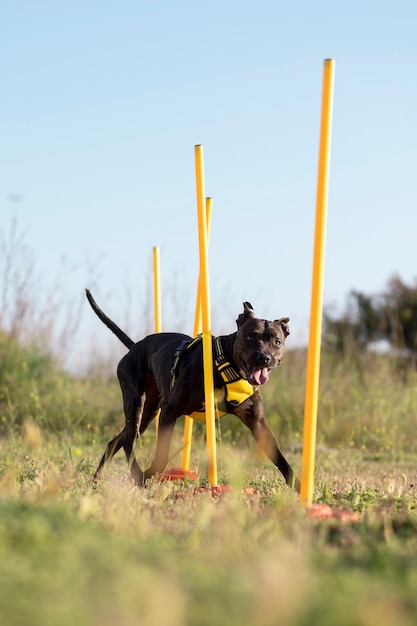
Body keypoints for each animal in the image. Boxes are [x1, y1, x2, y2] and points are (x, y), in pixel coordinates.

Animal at [85, 290, 300, 490]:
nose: (264, 357)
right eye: (249, 336)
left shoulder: (258, 424)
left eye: (277, 341)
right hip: (135, 402)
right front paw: (148, 475)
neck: (226, 365)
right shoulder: (169, 411)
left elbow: (282, 461)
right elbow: (162, 456)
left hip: (149, 412)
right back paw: (137, 474)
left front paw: (300, 489)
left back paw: (97, 478)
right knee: (129, 442)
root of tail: (134, 347)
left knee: (117, 441)